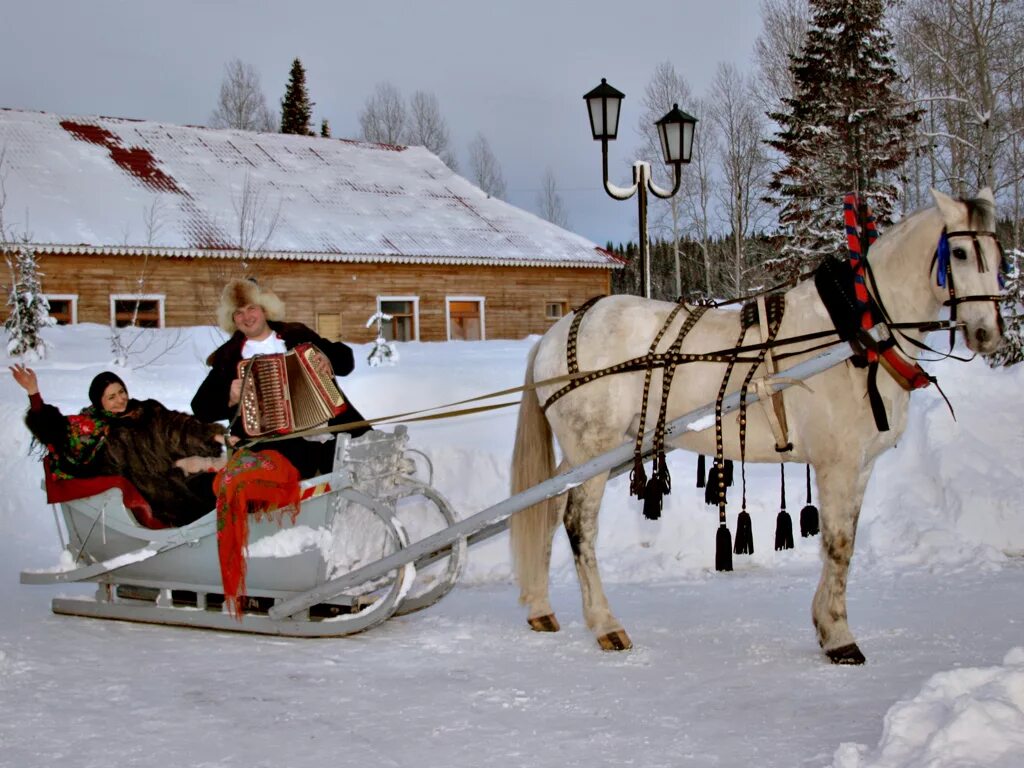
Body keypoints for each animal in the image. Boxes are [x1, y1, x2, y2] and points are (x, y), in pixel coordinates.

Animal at [507, 189, 1003, 663]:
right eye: (959, 254)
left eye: (999, 257)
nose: (988, 334)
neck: (854, 334)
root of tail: (557, 332)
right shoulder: (837, 464)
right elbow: (838, 544)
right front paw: (839, 636)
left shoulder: (861, 466)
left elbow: (847, 544)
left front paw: (825, 625)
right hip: (592, 448)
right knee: (578, 525)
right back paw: (605, 625)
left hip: (581, 456)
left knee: (545, 510)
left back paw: (540, 609)